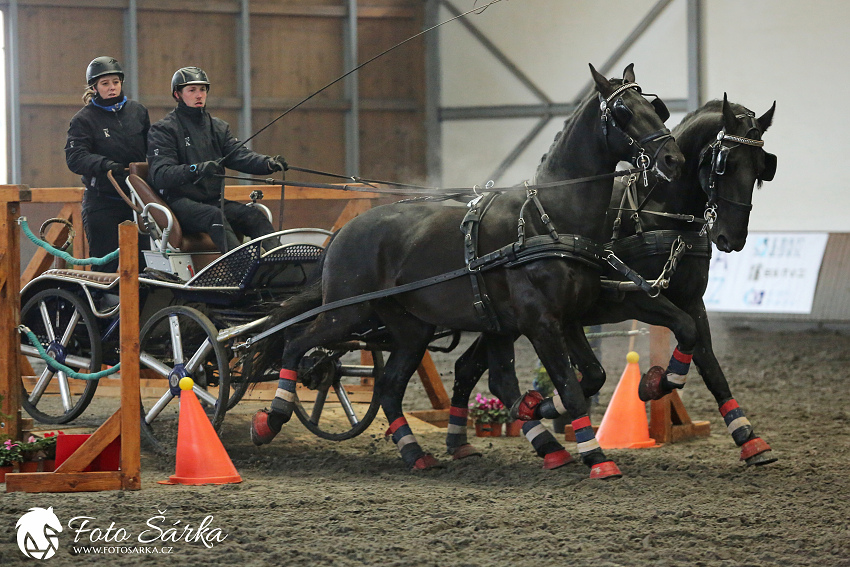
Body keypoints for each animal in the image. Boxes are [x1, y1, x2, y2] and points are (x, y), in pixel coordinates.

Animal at [450, 93, 776, 466]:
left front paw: (748, 437)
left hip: (501, 319)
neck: (656, 213)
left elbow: (709, 363)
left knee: (469, 369)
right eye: (726, 164)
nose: (732, 238)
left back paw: (469, 441)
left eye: (762, 169)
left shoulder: (693, 300)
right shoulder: (634, 295)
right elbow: (686, 332)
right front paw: (652, 384)